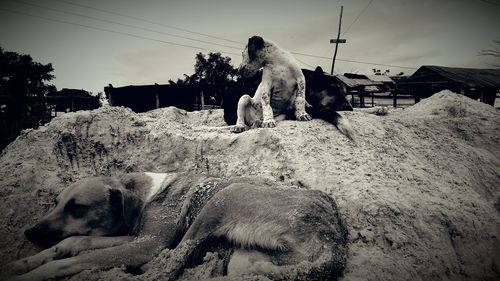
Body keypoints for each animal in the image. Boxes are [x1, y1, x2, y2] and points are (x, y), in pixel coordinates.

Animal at [2, 172, 348, 278]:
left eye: (77, 208)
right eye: (57, 202)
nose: (29, 233)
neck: (144, 193)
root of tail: (335, 239)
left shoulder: (148, 244)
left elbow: (80, 258)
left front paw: (35, 273)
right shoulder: (135, 238)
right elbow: (76, 243)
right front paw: (27, 261)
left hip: (222, 197)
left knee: (173, 260)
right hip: (245, 260)